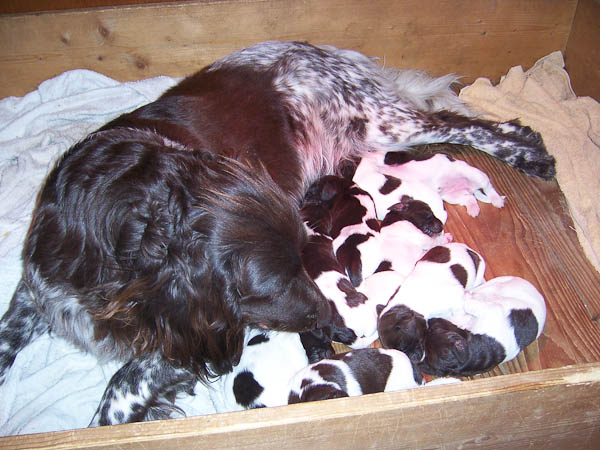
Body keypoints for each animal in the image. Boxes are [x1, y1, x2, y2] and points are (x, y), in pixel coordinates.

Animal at [0, 40, 554, 425]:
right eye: (273, 282)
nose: (332, 325)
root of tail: (326, 50)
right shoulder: (37, 290)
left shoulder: (197, 342)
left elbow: (119, 392)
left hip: (385, 123)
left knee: (470, 124)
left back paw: (529, 152)